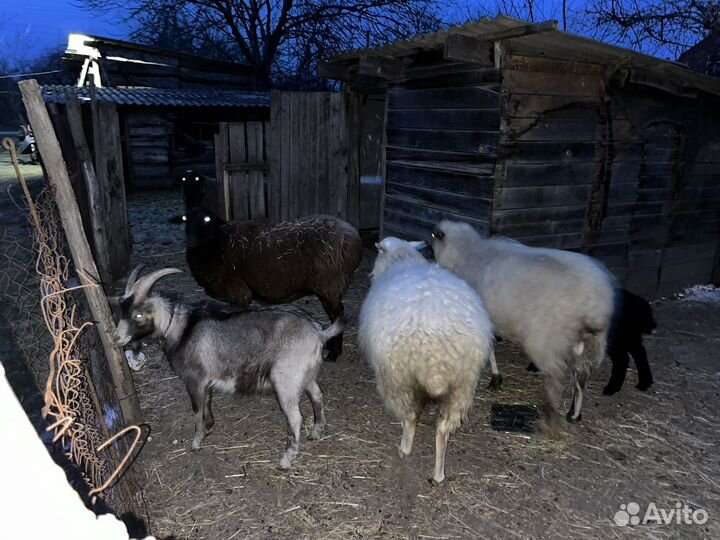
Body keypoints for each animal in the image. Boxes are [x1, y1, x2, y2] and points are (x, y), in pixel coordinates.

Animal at [111, 266, 341, 470]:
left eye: (138, 315)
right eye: (121, 311)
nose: (116, 338)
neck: (182, 329)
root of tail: (318, 332)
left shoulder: (194, 380)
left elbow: (197, 410)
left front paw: (197, 441)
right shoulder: (206, 379)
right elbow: (207, 401)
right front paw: (210, 426)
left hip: (286, 378)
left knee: (295, 416)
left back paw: (286, 460)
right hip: (306, 374)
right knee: (317, 395)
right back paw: (316, 432)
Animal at [183, 206, 363, 361]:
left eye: (207, 219)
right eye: (185, 218)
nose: (190, 239)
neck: (217, 243)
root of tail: (352, 234)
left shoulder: (238, 294)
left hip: (328, 286)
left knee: (337, 315)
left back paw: (334, 353)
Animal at [358, 237, 494, 484]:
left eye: (379, 251)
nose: (371, 274)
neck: (403, 260)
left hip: (398, 376)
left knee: (411, 416)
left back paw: (404, 448)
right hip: (463, 384)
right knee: (442, 429)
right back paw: (438, 475)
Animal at [427, 220, 617, 432]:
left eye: (434, 236)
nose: (427, 251)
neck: (466, 252)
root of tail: (594, 303)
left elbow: (490, 347)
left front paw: (495, 377)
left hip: (548, 340)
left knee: (557, 375)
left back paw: (550, 414)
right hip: (590, 341)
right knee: (581, 375)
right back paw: (574, 414)